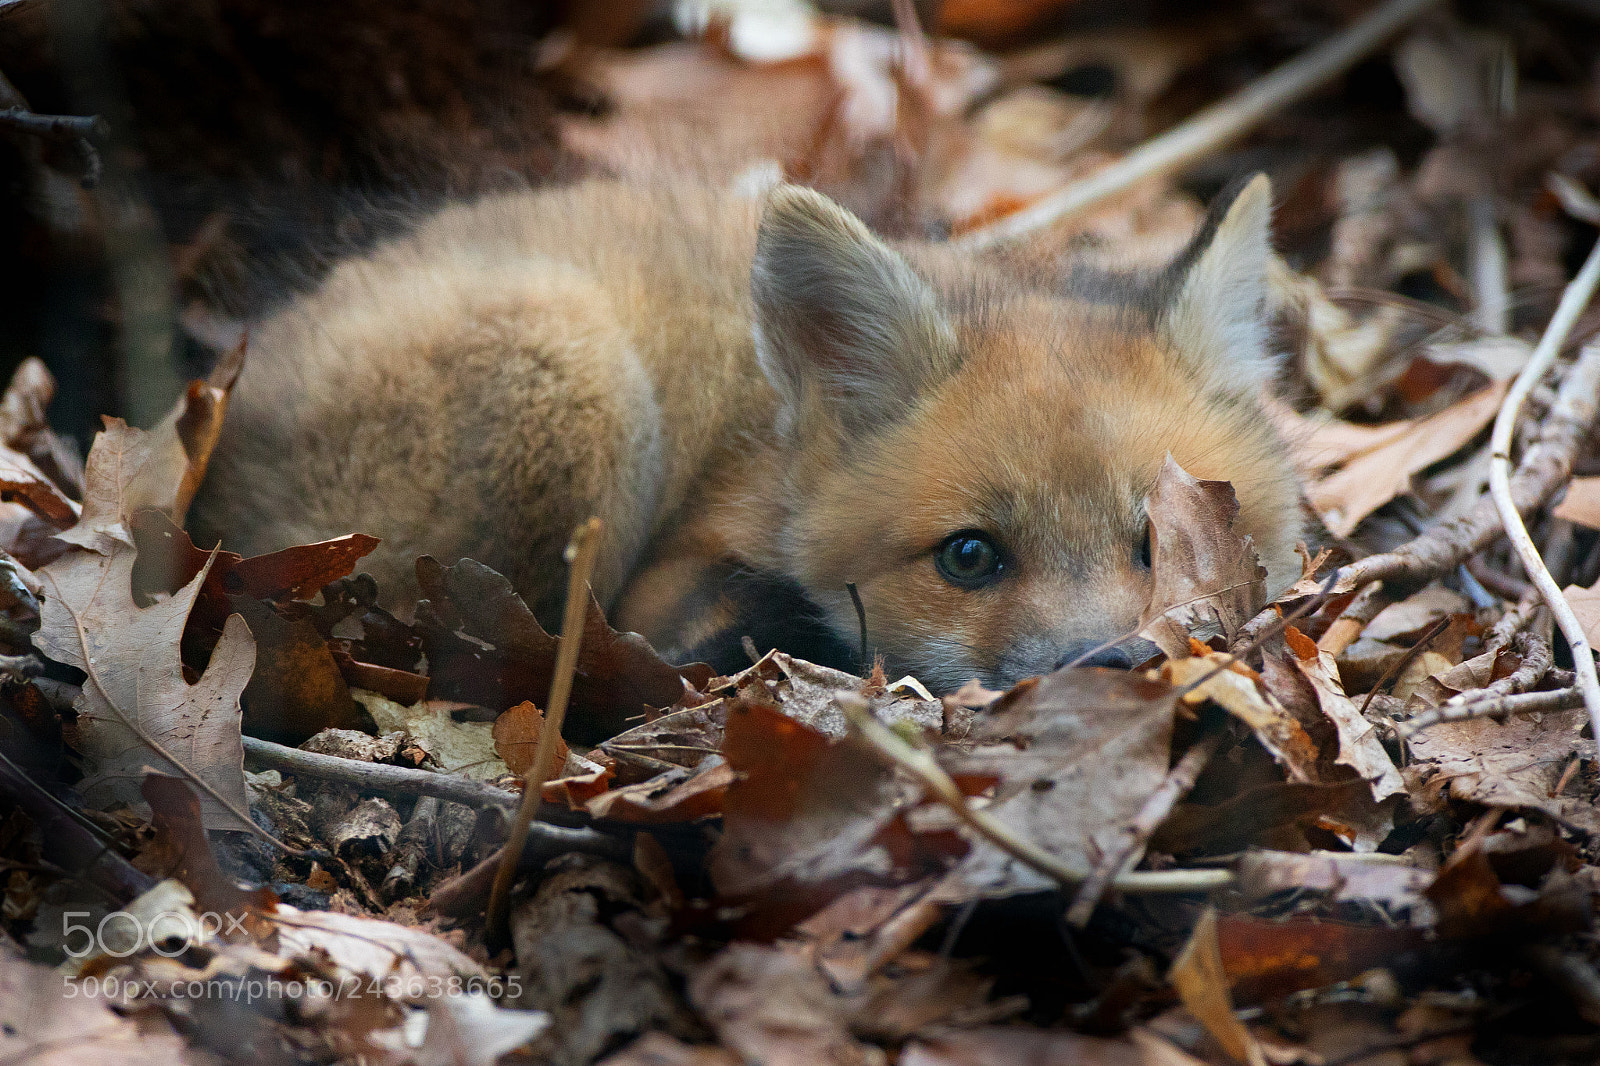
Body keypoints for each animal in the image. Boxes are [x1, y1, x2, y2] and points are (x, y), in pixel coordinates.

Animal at [189, 174, 1304, 693]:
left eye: (1164, 538)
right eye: (970, 557)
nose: (1107, 665)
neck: (765, 457)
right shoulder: (675, 567)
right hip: (577, 380)